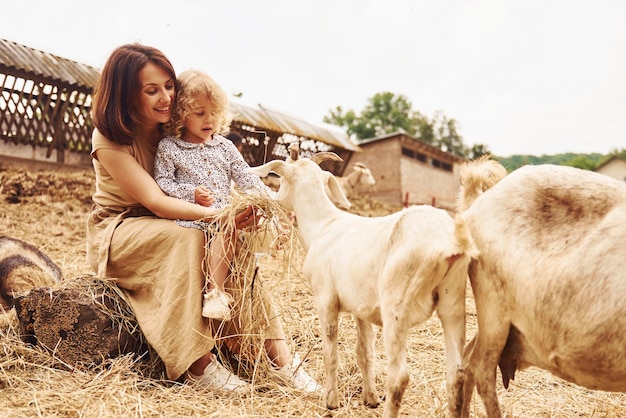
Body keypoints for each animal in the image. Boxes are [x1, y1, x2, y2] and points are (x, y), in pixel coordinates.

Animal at [249, 152, 472, 418]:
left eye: (280, 179)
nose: (272, 199)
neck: (323, 225)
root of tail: (447, 242)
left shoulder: (325, 299)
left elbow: (330, 352)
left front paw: (331, 401)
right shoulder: (361, 308)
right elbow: (365, 353)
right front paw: (370, 398)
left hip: (397, 305)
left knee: (400, 377)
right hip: (453, 300)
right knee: (457, 374)